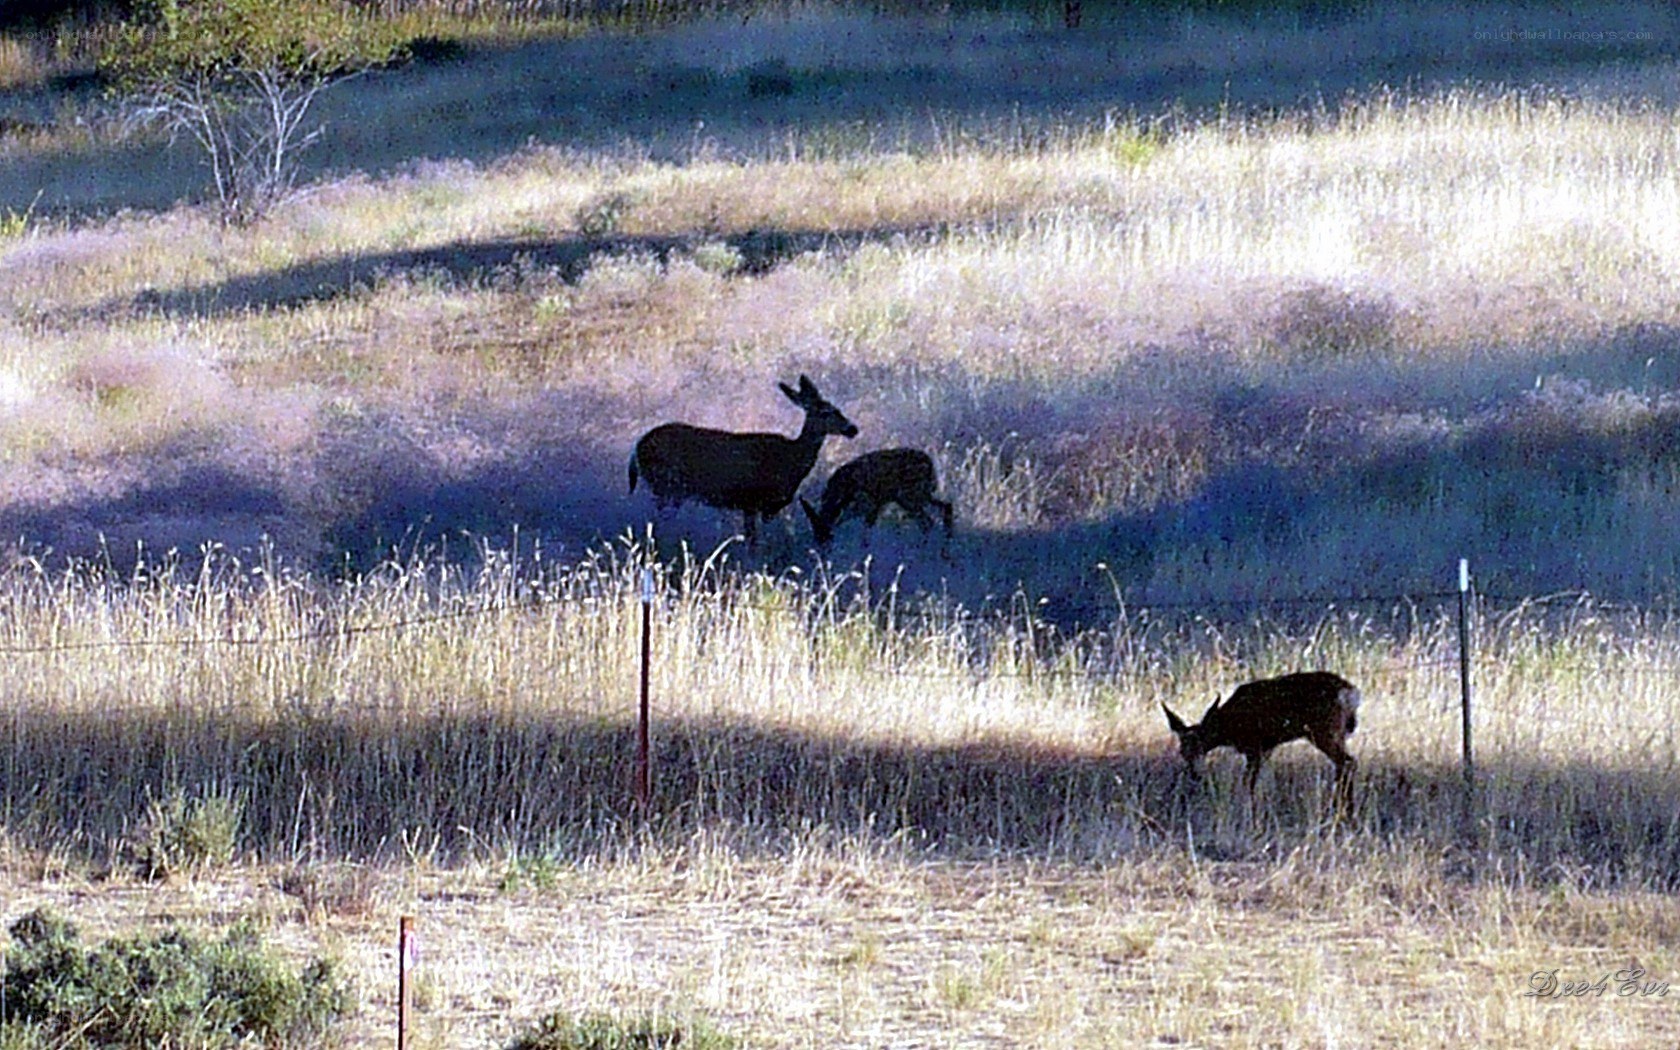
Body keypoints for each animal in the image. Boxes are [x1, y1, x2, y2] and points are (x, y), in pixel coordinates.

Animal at [628, 374, 858, 547]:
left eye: (838, 408)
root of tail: (637, 447)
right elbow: (753, 543)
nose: (852, 429)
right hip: (666, 486)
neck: (791, 458)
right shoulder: (751, 500)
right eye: (826, 412)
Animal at [799, 448, 954, 549]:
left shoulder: (872, 505)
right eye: (815, 534)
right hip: (915, 498)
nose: (822, 548)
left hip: (910, 497)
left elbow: (866, 532)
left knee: (928, 521)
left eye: (825, 534)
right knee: (944, 507)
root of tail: (930, 464)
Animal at [1161, 671, 1361, 806]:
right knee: (1345, 763)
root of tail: (1350, 692)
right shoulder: (1266, 749)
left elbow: (1248, 783)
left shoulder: (1254, 747)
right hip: (1337, 733)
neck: (1229, 725)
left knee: (1347, 762)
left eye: (1201, 747)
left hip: (1323, 731)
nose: (1194, 775)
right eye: (1182, 752)